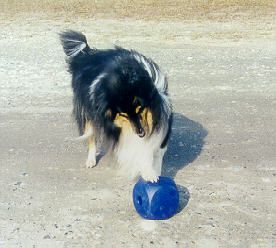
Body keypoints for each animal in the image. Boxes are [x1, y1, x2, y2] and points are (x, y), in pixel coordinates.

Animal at [60, 31, 172, 182]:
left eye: (140, 108)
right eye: (123, 114)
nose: (140, 133)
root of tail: (87, 53)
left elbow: (158, 151)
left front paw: (156, 171)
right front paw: (148, 173)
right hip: (88, 114)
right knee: (91, 136)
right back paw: (90, 161)